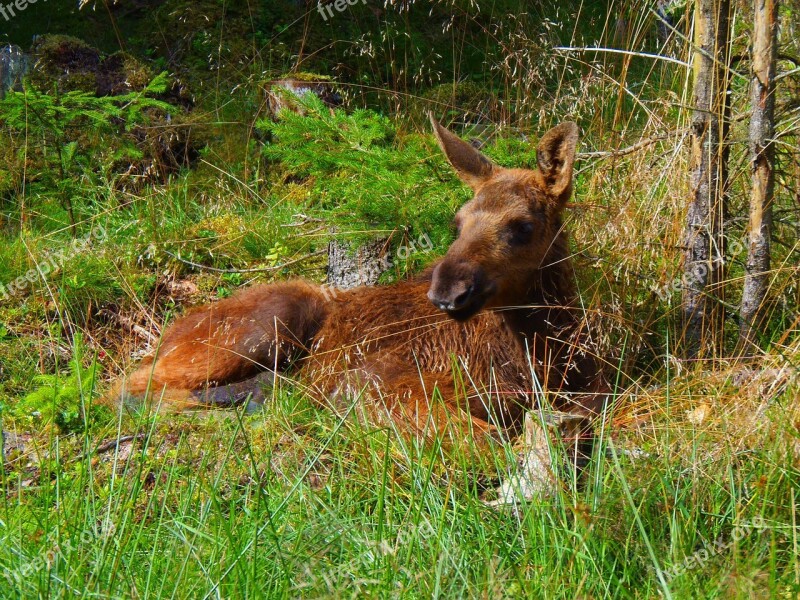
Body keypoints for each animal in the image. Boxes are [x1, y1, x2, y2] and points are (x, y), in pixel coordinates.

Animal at [114, 116, 608, 440]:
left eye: (522, 226)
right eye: (458, 221)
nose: (447, 292)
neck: (540, 353)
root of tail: (168, 333)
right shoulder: (371, 381)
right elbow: (489, 442)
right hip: (272, 320)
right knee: (128, 387)